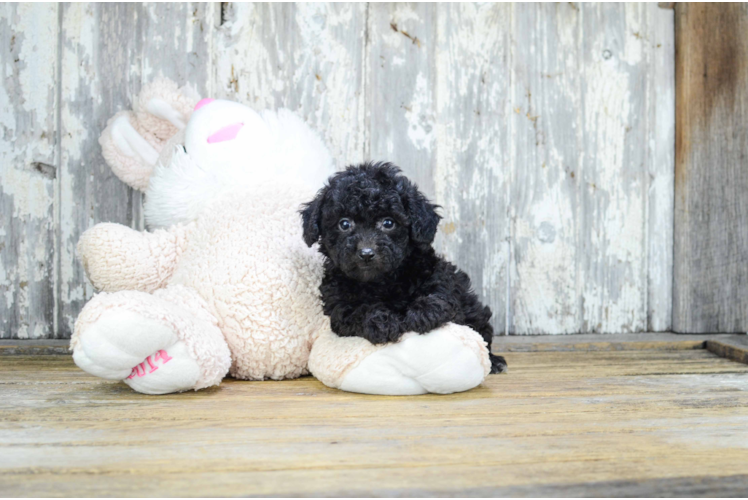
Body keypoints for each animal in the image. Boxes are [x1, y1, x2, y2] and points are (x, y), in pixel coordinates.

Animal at [304, 162, 508, 374]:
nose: (366, 253)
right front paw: (381, 322)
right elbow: (358, 311)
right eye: (344, 224)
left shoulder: (438, 275)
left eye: (388, 223)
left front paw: (422, 313)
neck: (381, 282)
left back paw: (495, 362)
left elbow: (440, 295)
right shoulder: (339, 306)